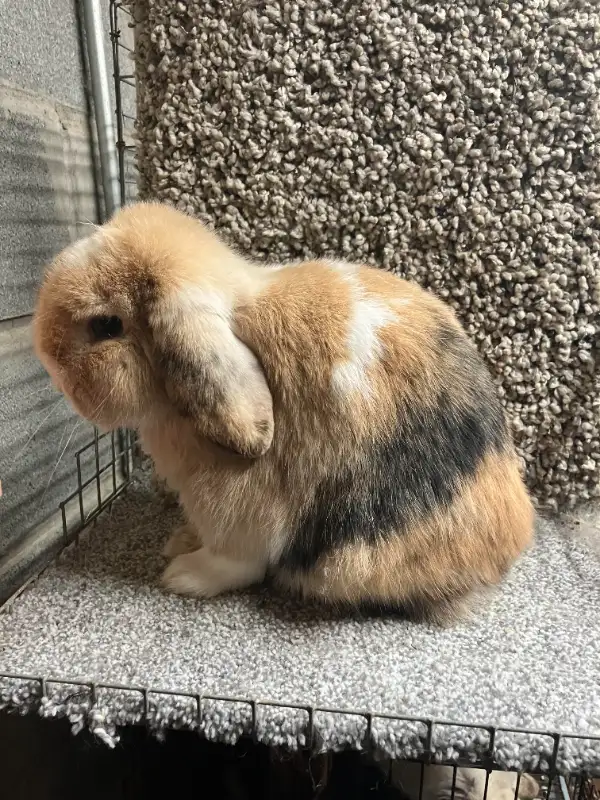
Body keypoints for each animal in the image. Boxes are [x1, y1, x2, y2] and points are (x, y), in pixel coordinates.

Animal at [33, 201, 534, 622]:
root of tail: (508, 547)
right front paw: (178, 541)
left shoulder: (237, 504)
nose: (46, 360)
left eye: (106, 326)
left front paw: (181, 575)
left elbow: (233, 561)